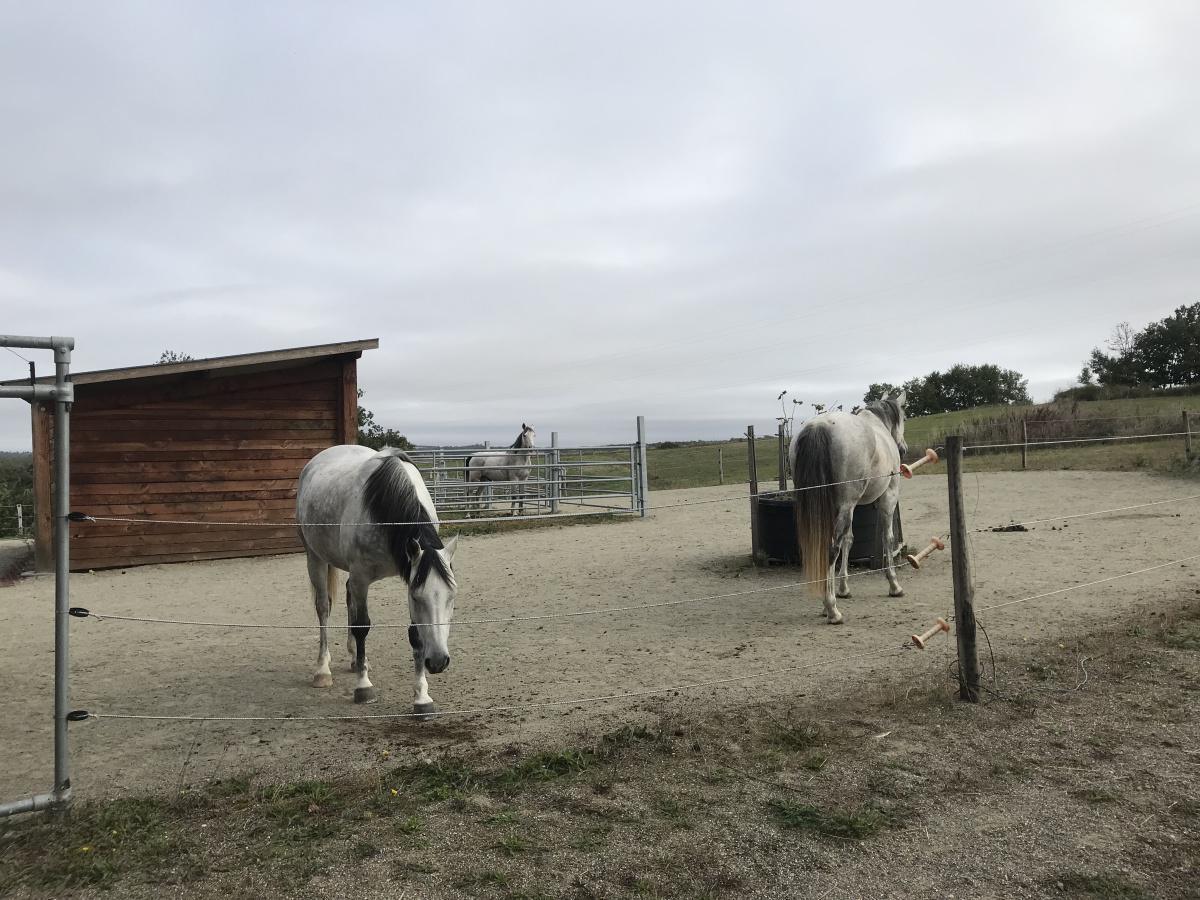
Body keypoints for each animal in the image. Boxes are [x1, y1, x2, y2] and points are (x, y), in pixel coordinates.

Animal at [787, 393, 907, 628]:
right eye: (903, 417)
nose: (903, 448)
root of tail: (819, 426)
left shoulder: (850, 507)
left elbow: (849, 540)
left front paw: (843, 588)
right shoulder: (887, 498)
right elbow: (887, 539)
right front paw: (894, 585)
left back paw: (828, 604)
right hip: (847, 505)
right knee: (831, 549)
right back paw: (832, 610)